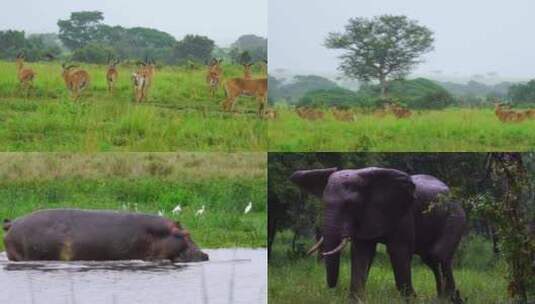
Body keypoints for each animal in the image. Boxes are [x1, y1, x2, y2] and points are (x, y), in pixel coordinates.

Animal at [292, 167, 466, 302]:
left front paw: (411, 300)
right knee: (432, 260)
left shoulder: (403, 213)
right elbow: (362, 253)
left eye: (350, 205)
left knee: (438, 256)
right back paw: (445, 299)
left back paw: (450, 299)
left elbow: (399, 252)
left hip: (455, 217)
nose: (332, 288)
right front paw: (356, 300)